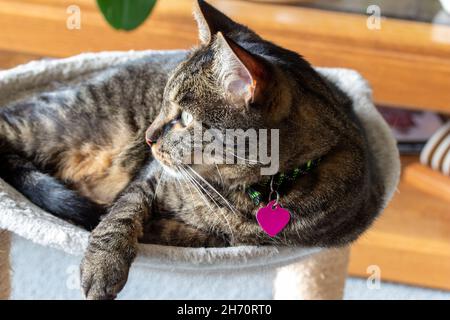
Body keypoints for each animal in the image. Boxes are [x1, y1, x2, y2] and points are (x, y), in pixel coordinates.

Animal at [0, 0, 384, 300]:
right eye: (162, 103)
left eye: (183, 117)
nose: (148, 137)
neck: (244, 192)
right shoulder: (148, 177)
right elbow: (122, 212)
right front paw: (102, 264)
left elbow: (199, 235)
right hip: (57, 124)